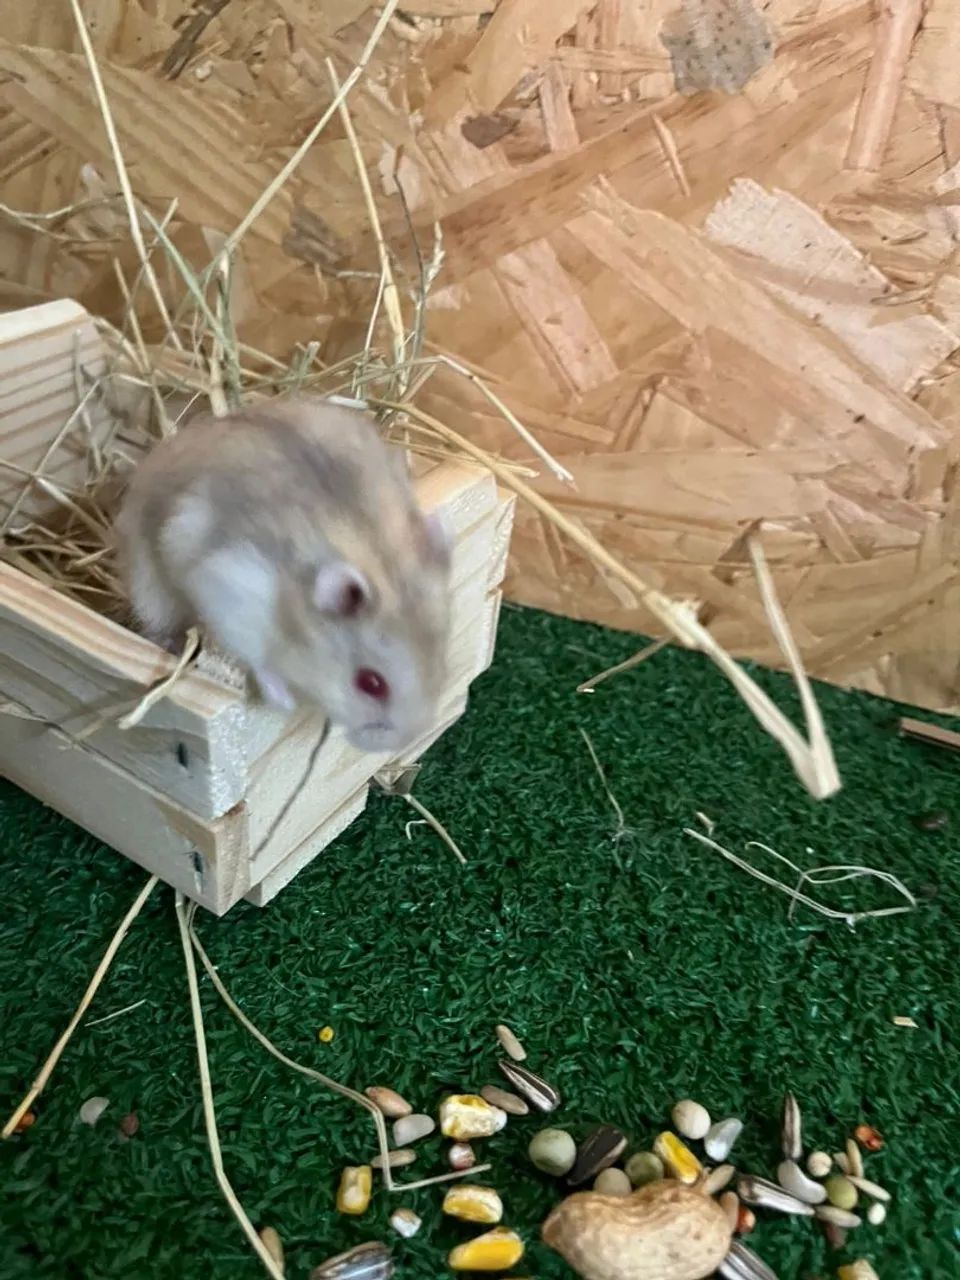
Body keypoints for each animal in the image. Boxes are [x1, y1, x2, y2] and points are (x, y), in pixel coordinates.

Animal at [114, 397, 452, 754]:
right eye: (370, 683)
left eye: (441, 661)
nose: (402, 743)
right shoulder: (233, 594)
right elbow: (260, 660)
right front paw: (284, 701)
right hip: (149, 587)